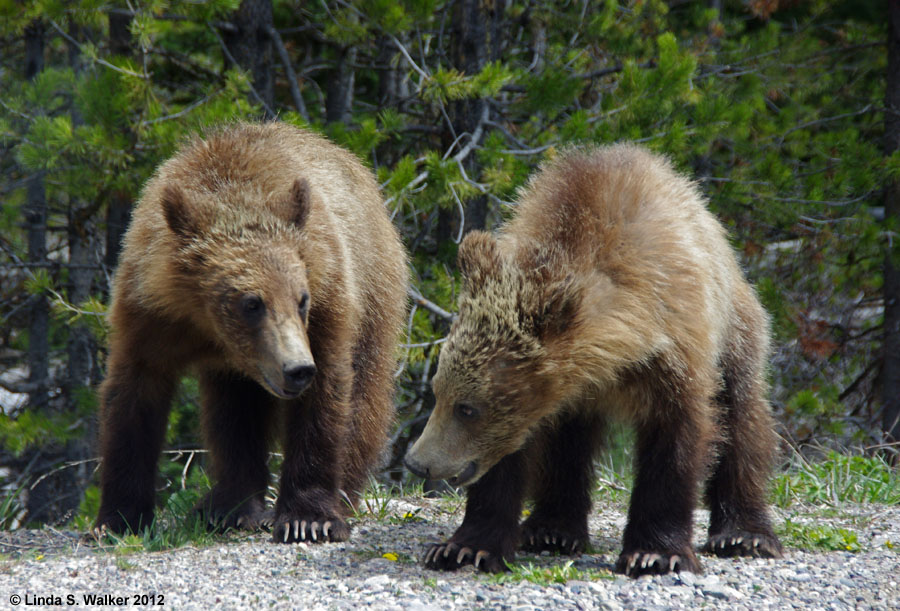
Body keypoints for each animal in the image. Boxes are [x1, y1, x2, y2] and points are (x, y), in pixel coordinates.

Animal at [96, 122, 408, 544]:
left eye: (301, 298)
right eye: (251, 303)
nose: (297, 369)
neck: (206, 323)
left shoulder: (327, 298)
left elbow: (326, 397)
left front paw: (309, 518)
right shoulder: (149, 313)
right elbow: (134, 399)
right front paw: (116, 519)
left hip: (374, 286)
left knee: (364, 396)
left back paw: (338, 495)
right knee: (234, 414)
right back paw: (229, 507)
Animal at [406, 145, 780, 580]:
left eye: (467, 408)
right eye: (439, 393)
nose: (418, 462)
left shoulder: (676, 352)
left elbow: (675, 443)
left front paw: (655, 554)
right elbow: (505, 456)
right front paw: (466, 548)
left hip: (736, 328)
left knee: (743, 417)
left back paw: (744, 534)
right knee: (568, 446)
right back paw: (552, 529)